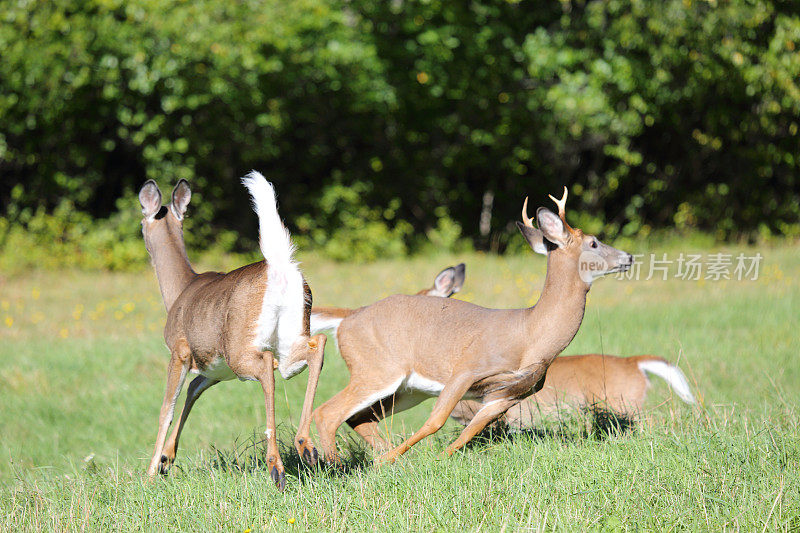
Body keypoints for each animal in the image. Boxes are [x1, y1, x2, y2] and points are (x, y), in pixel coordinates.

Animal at [139, 171, 326, 490]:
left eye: (141, 222)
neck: (178, 293)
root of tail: (279, 267)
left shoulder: (180, 350)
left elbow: (167, 408)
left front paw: (151, 472)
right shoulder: (214, 369)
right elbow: (192, 391)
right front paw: (166, 458)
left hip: (240, 348)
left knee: (266, 365)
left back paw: (276, 466)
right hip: (291, 337)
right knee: (316, 346)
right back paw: (306, 445)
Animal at [310, 187, 632, 462]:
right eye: (593, 242)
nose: (628, 256)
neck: (530, 335)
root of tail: (349, 317)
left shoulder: (507, 394)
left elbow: (468, 433)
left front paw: (431, 459)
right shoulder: (468, 367)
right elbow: (435, 421)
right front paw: (389, 461)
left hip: (407, 389)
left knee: (358, 417)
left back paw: (379, 457)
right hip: (377, 367)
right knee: (327, 412)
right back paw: (340, 464)